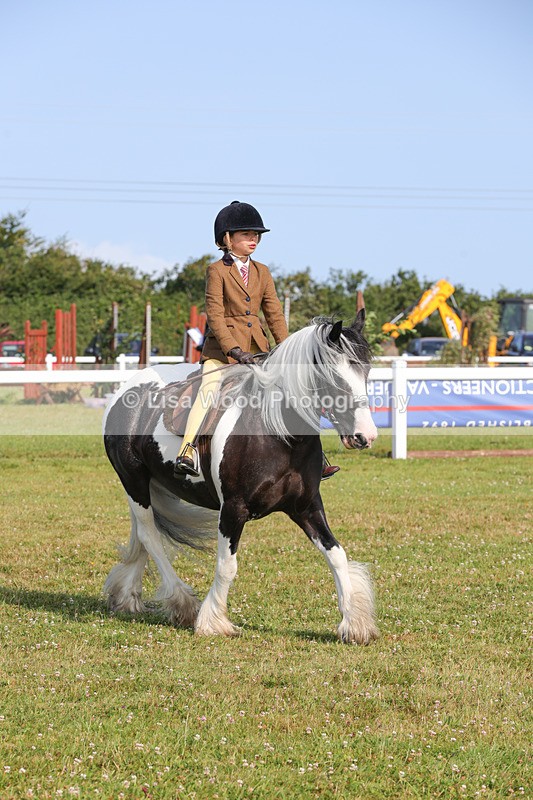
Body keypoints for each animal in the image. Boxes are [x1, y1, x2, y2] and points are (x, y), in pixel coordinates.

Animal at [103, 312, 379, 644]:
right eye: (335, 378)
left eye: (366, 371)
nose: (365, 436)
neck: (279, 433)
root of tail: (125, 390)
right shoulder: (233, 509)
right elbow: (227, 566)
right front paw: (212, 621)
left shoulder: (307, 507)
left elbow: (337, 554)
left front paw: (354, 623)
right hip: (133, 481)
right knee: (150, 536)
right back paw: (182, 603)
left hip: (150, 486)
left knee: (143, 538)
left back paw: (128, 597)